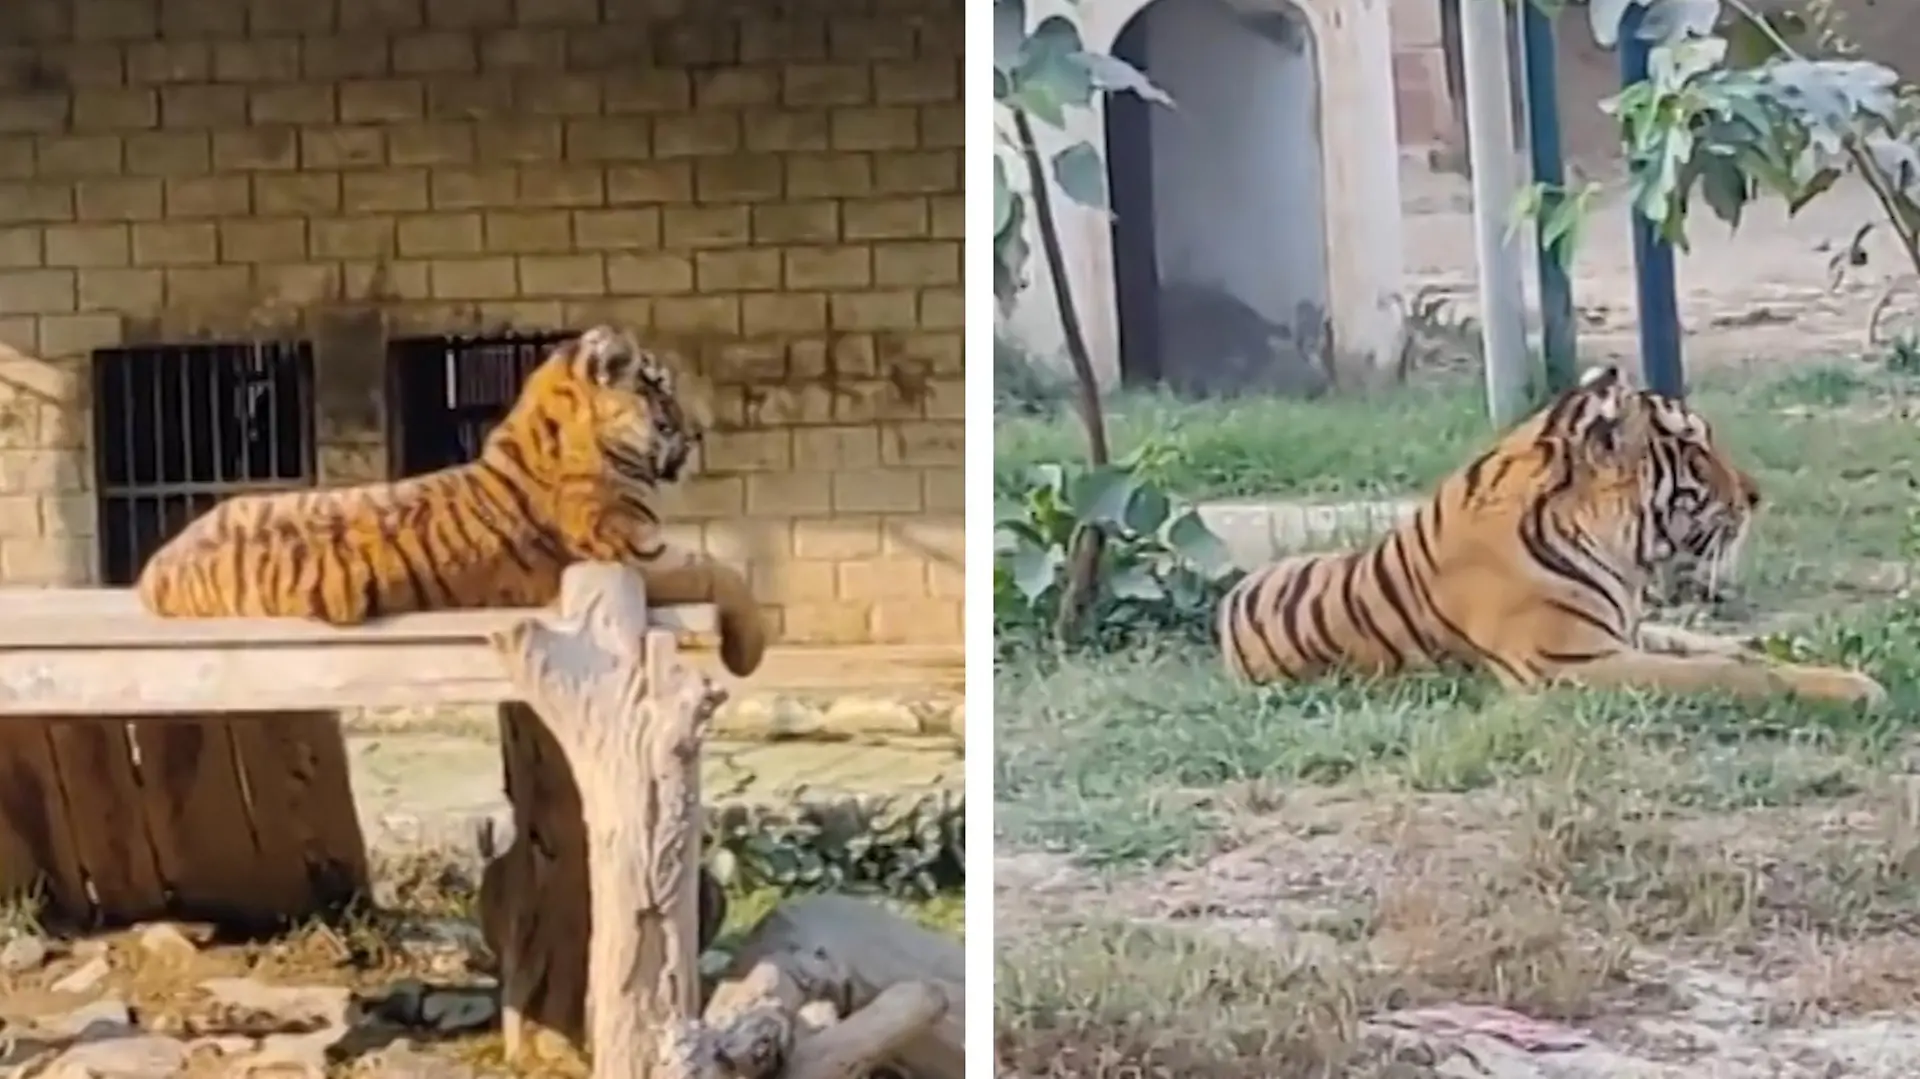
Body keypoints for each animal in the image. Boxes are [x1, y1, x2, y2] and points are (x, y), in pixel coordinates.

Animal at [135, 324, 768, 680]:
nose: (698, 435)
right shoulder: (633, 551)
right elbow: (725, 572)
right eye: (659, 390)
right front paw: (748, 655)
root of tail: (154, 567)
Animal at [1216, 364, 1886, 706]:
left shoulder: (1623, 634)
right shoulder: (1570, 663)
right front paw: (1859, 687)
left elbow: (1731, 655)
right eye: (1697, 449)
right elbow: (1728, 674)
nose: (1755, 495)